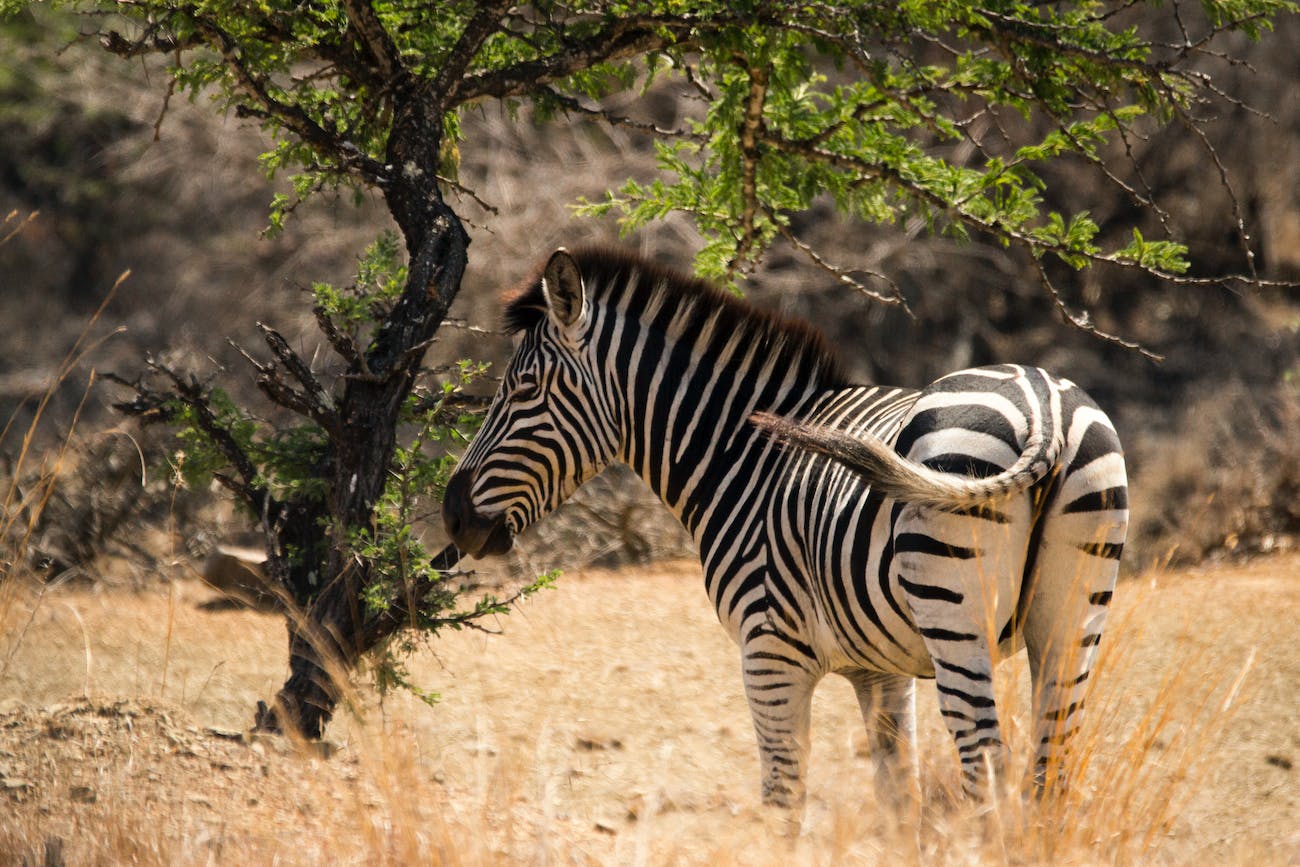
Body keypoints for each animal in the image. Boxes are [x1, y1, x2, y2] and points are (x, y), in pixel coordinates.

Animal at [444, 246, 1128, 816]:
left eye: (522, 390)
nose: (453, 515)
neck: (741, 455)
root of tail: (1044, 404)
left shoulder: (769, 649)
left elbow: (782, 799)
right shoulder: (881, 668)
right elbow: (897, 796)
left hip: (955, 611)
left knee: (987, 763)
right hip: (1073, 613)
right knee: (1051, 770)